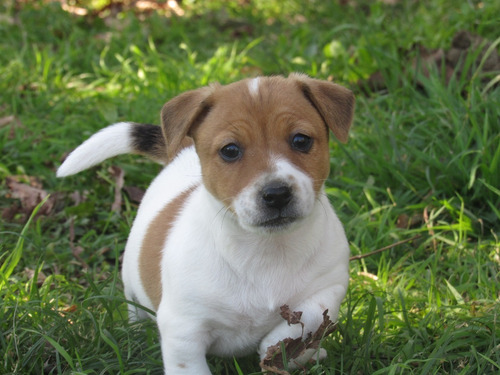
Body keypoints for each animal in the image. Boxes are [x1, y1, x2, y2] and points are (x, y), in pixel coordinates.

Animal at [57, 72, 356, 374]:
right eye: (230, 150)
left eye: (301, 140)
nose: (277, 194)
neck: (266, 249)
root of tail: (182, 150)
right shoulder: (183, 327)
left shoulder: (329, 287)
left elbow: (305, 320)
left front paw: (283, 349)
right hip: (133, 287)